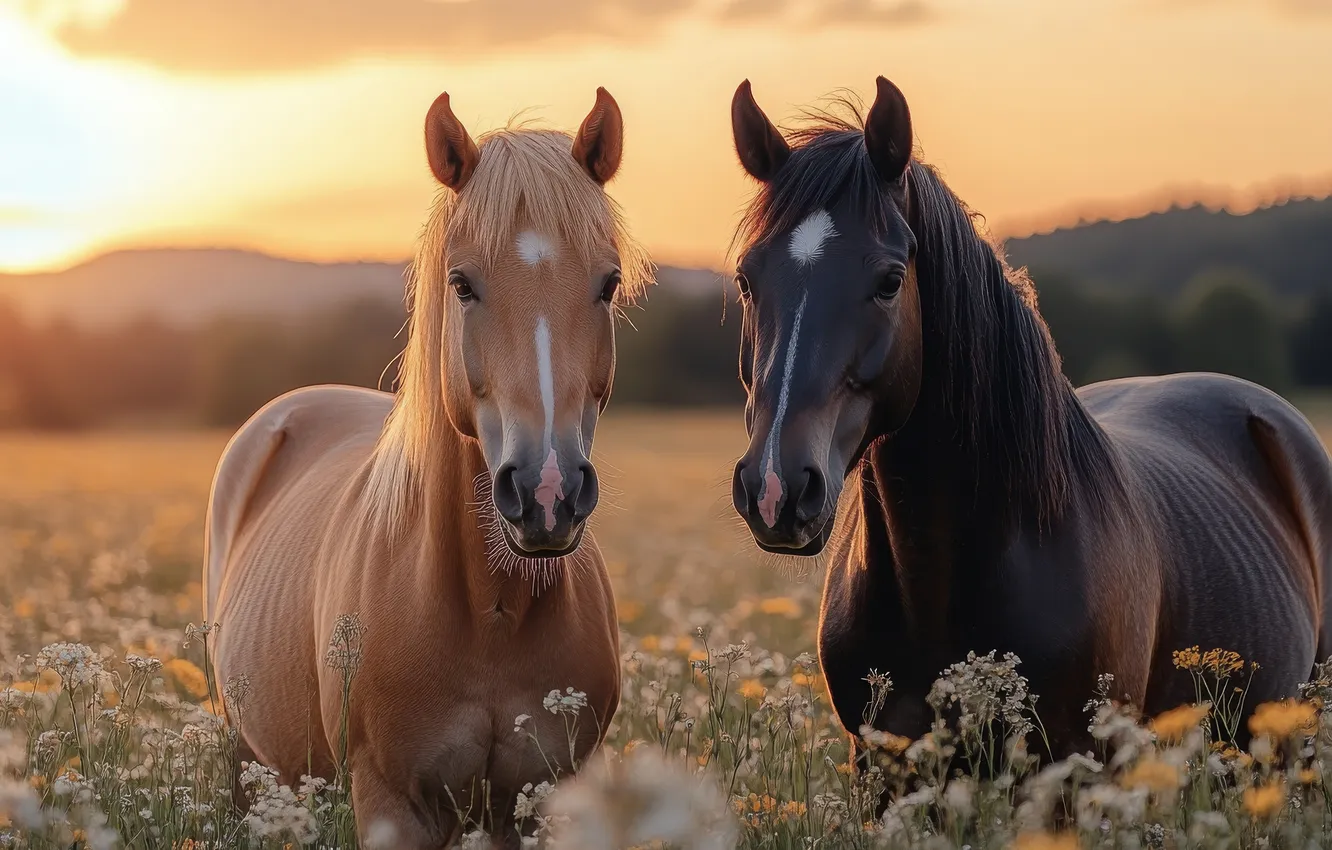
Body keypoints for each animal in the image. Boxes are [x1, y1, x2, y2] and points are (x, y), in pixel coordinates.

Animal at [202, 87, 650, 848]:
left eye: (608, 281)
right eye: (462, 284)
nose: (548, 492)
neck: (489, 610)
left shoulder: (538, 804)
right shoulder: (390, 802)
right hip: (244, 759)